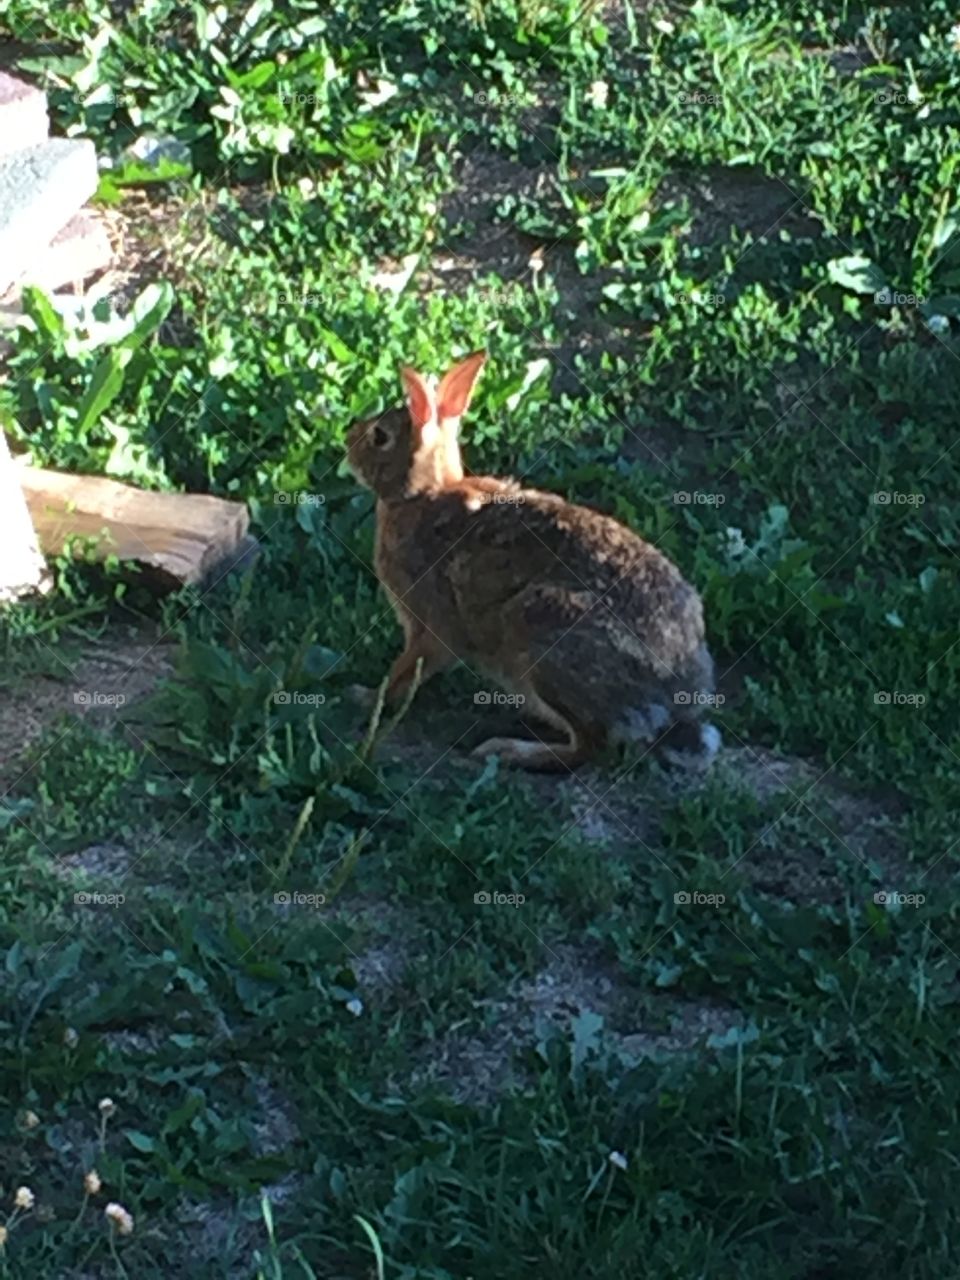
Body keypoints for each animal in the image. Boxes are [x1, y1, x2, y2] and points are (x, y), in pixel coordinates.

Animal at [346, 353, 721, 771]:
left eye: (379, 436)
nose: (347, 439)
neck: (421, 495)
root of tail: (675, 694)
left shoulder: (431, 626)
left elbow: (404, 671)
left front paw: (364, 696)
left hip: (539, 629)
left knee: (589, 747)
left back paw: (507, 749)